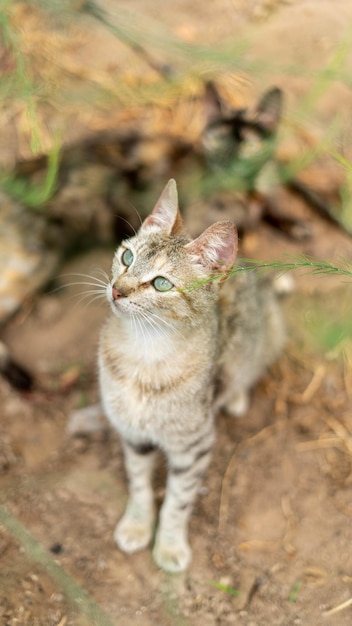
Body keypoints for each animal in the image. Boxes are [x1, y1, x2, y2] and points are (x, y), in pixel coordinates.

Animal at [97, 176, 284, 572]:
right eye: (127, 257)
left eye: (161, 284)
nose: (117, 290)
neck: (145, 354)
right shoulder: (133, 434)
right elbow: (139, 484)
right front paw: (137, 525)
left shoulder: (194, 447)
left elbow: (177, 502)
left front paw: (169, 546)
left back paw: (237, 397)